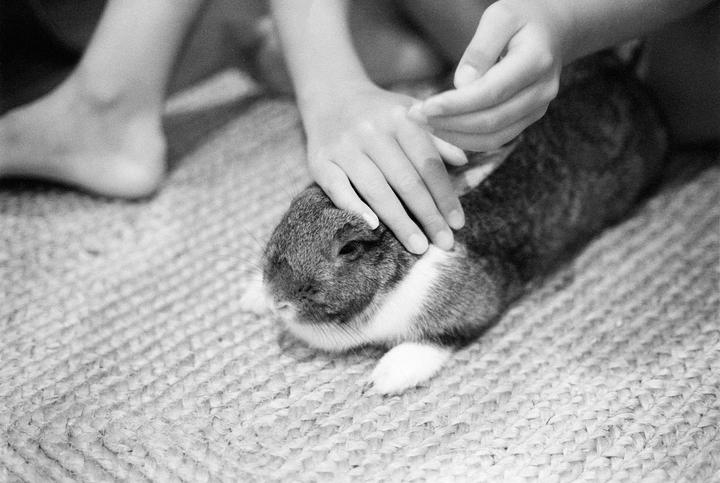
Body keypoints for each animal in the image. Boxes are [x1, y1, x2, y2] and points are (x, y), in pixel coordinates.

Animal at [241, 52, 668, 394]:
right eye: (295, 206)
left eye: (350, 248)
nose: (278, 299)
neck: (403, 267)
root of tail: (627, 74)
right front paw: (252, 297)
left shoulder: (469, 306)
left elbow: (439, 340)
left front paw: (386, 378)